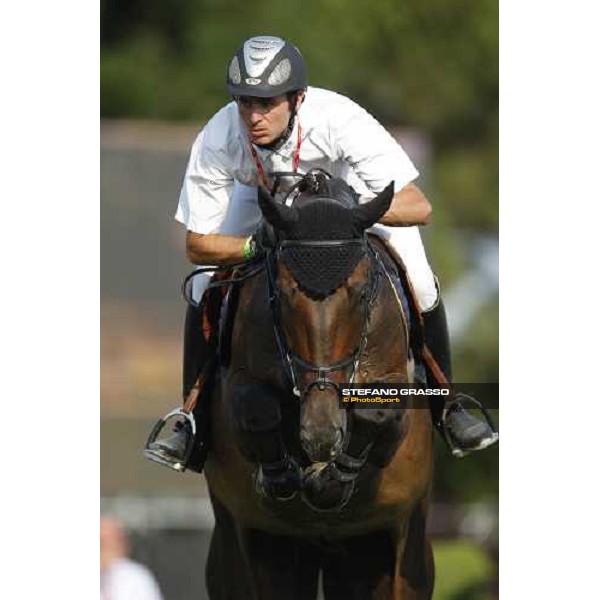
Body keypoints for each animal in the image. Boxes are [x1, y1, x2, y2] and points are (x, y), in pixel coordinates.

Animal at [204, 173, 434, 600]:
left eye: (360, 293)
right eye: (285, 294)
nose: (320, 434)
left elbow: (377, 412)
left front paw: (327, 480)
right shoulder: (239, 380)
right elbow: (256, 408)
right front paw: (280, 476)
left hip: (389, 551)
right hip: (251, 551)